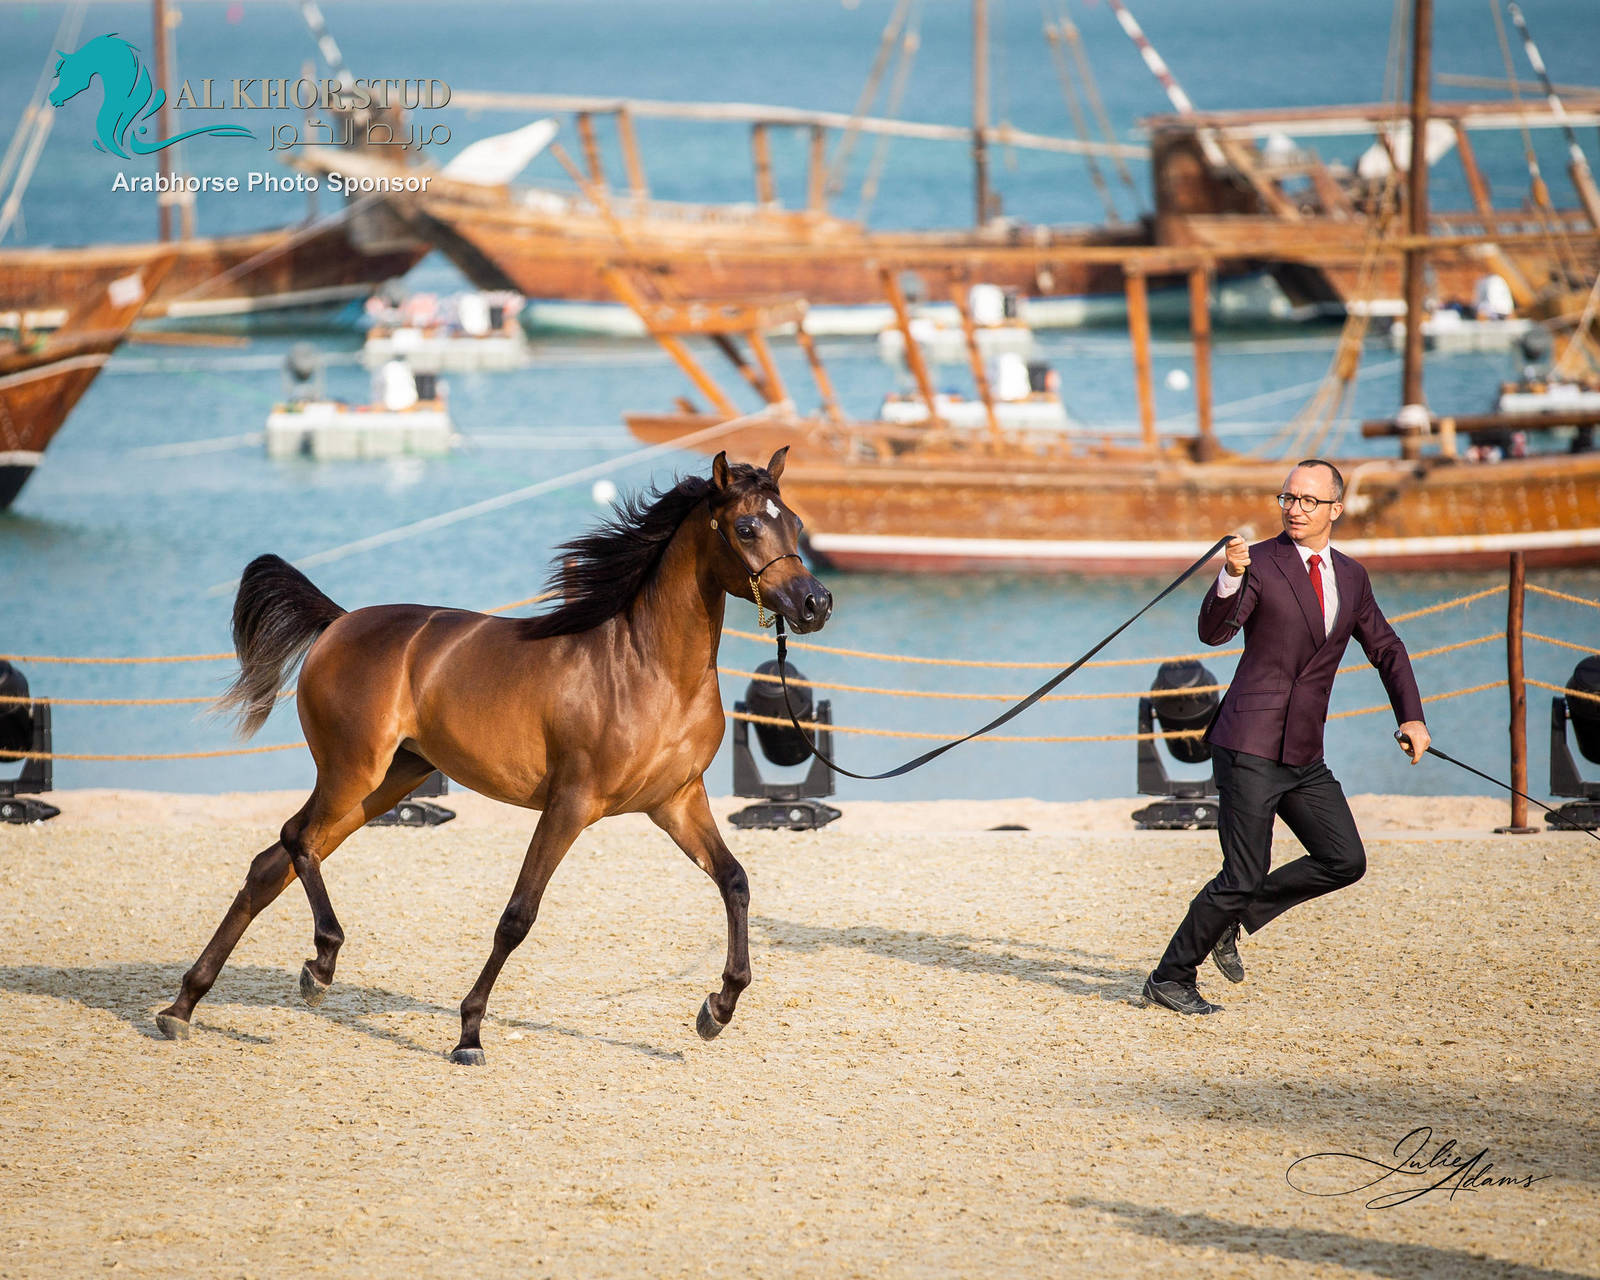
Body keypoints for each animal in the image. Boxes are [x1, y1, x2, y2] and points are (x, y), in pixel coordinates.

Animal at [156, 448, 832, 1064]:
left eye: (798, 522)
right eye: (746, 527)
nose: (816, 604)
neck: (651, 670)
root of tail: (339, 623)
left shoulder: (676, 802)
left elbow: (735, 881)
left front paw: (717, 1008)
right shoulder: (570, 804)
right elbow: (518, 915)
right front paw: (469, 1034)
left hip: (389, 783)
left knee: (274, 864)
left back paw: (182, 1007)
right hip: (352, 772)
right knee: (296, 839)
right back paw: (319, 964)